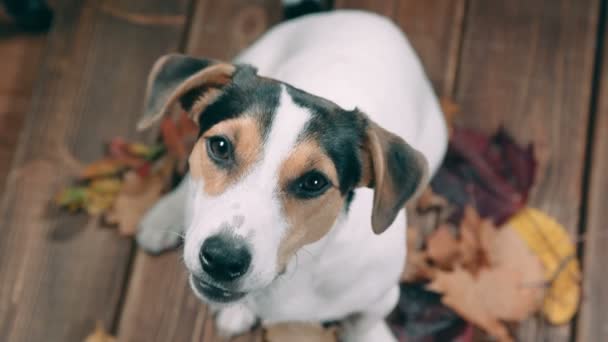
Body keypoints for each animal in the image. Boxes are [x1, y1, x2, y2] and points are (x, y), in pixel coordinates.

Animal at [137, 8, 446, 342]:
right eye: (220, 146)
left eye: (314, 182)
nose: (221, 259)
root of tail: (369, 16)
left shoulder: (382, 297)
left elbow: (362, 324)